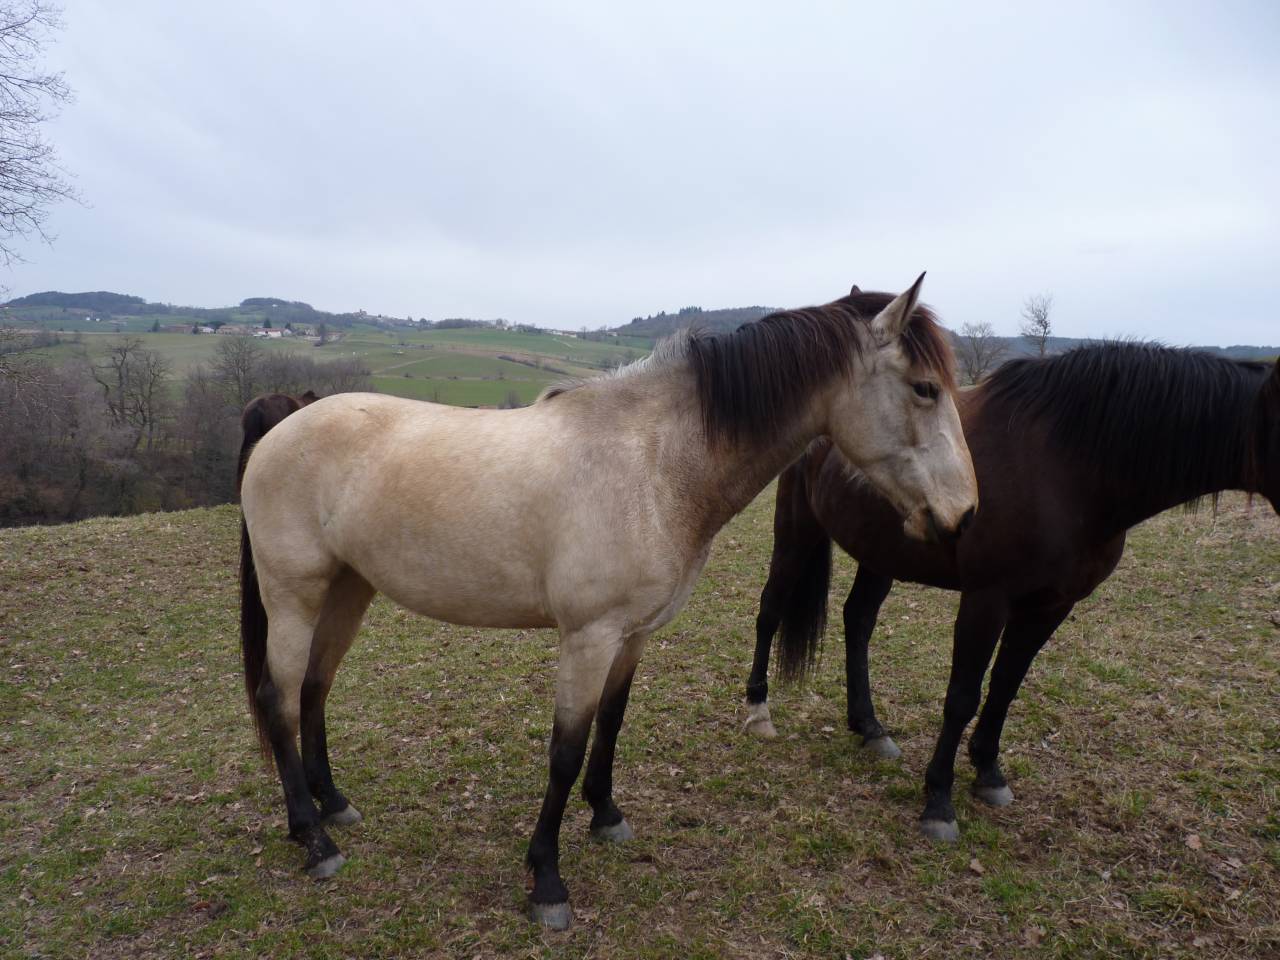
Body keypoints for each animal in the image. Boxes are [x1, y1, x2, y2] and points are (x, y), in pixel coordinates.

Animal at [238, 276, 979, 929]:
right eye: (924, 388)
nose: (964, 515)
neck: (654, 463)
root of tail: (279, 433)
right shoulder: (588, 637)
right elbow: (565, 750)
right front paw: (547, 880)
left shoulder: (634, 633)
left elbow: (612, 723)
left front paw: (606, 815)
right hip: (295, 595)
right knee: (280, 698)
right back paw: (314, 840)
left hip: (347, 590)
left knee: (313, 689)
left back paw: (333, 804)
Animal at [742, 342, 1280, 841]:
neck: (1068, 466)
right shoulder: (987, 599)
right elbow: (963, 695)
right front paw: (939, 802)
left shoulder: (1050, 606)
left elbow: (1005, 686)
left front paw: (989, 773)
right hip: (796, 530)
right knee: (770, 610)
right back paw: (758, 709)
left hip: (880, 553)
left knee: (858, 621)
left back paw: (869, 728)